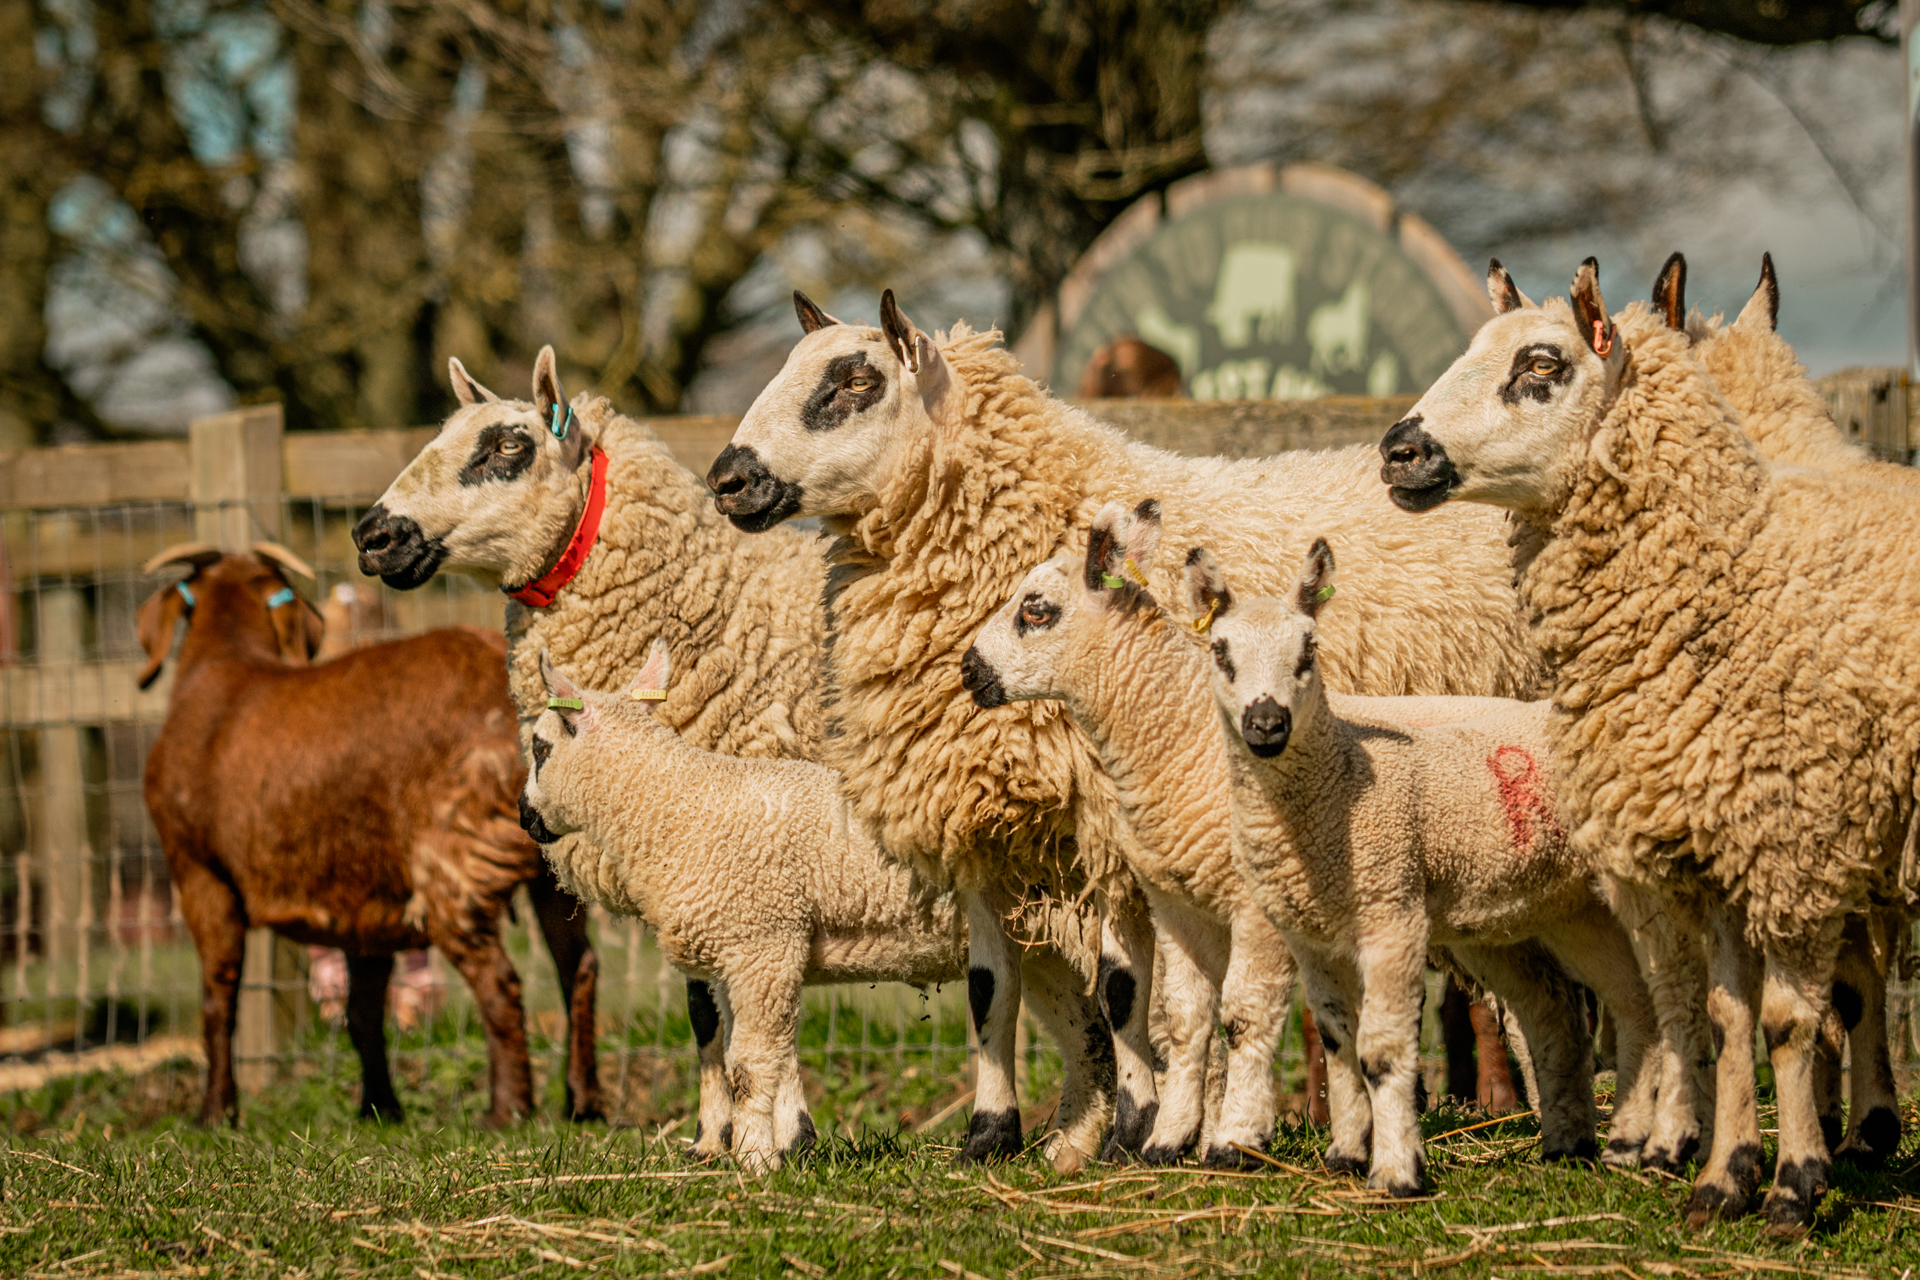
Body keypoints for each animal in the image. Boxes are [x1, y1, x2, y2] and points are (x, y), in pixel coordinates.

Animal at [138, 545, 600, 1129]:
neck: (225, 662)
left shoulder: (200, 872)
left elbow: (218, 997)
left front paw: (215, 1114)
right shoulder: (364, 904)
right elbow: (362, 1011)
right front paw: (380, 1110)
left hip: (452, 860)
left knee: (499, 983)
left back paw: (507, 1111)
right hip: (549, 867)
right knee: (577, 968)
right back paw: (583, 1102)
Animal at [518, 640, 966, 1171]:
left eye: (540, 747)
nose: (524, 817)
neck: (670, 809)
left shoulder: (763, 943)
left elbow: (750, 1067)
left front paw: (755, 1161)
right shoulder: (736, 959)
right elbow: (745, 1057)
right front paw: (773, 1148)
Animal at [706, 290, 1544, 1170]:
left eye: (855, 381)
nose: (727, 479)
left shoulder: (1111, 817)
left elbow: (1122, 991)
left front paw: (1134, 1132)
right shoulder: (978, 818)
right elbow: (988, 991)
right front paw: (991, 1133)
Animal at [1377, 258, 1920, 1234]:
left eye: (1542, 366)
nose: (1397, 451)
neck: (1734, 574)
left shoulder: (1795, 840)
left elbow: (1790, 1019)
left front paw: (1794, 1184)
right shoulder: (1717, 845)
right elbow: (1727, 1015)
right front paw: (1725, 1178)